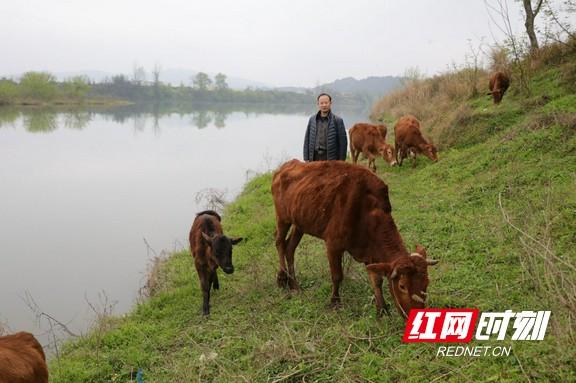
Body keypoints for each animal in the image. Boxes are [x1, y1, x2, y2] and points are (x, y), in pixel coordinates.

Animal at [272, 160, 438, 320]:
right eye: (402, 286)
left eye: (426, 283)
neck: (367, 212)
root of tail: (282, 168)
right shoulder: (333, 245)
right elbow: (337, 276)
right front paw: (335, 302)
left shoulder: (371, 253)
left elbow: (377, 280)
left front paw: (382, 309)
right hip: (282, 218)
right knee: (279, 242)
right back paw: (282, 278)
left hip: (299, 223)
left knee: (290, 248)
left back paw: (294, 284)